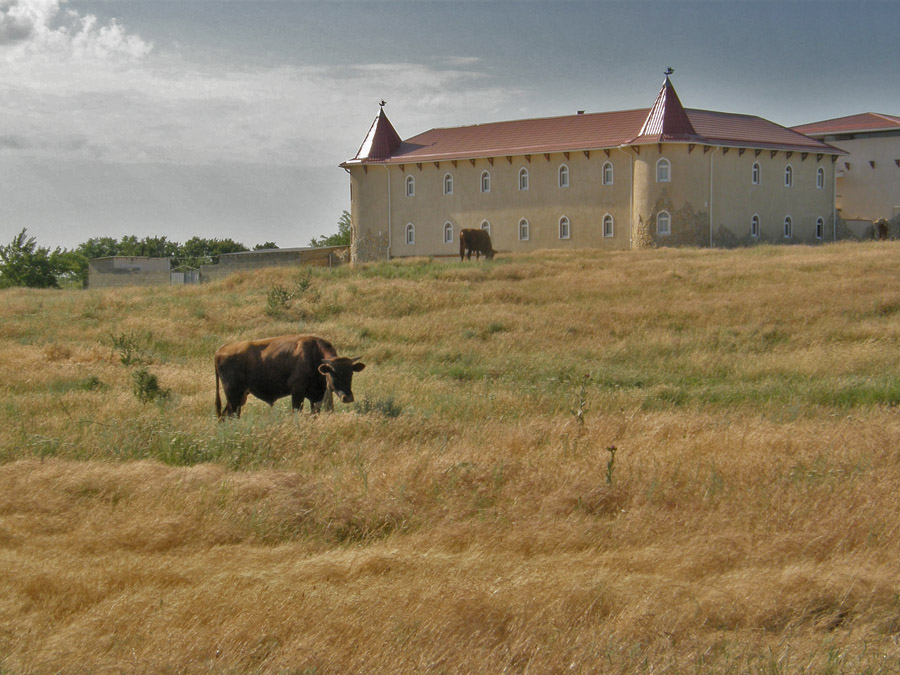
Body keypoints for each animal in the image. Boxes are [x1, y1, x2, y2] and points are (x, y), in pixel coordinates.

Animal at [213, 332, 364, 418]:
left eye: (351, 373)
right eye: (334, 374)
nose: (347, 398)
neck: (314, 355)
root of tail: (220, 350)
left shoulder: (316, 396)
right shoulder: (297, 393)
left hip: (240, 397)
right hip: (234, 395)